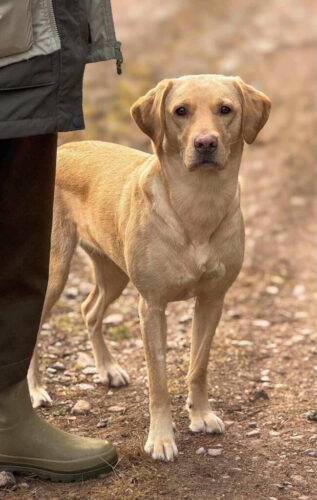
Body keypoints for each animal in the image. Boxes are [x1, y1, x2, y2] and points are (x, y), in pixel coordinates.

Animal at [28, 74, 270, 460]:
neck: (197, 204)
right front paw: (161, 439)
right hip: (54, 271)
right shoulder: (152, 306)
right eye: (180, 111)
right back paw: (36, 390)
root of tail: (63, 150)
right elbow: (158, 380)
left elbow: (198, 367)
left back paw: (108, 369)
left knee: (89, 309)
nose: (205, 143)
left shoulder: (212, 300)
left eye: (226, 109)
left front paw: (201, 415)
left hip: (114, 273)